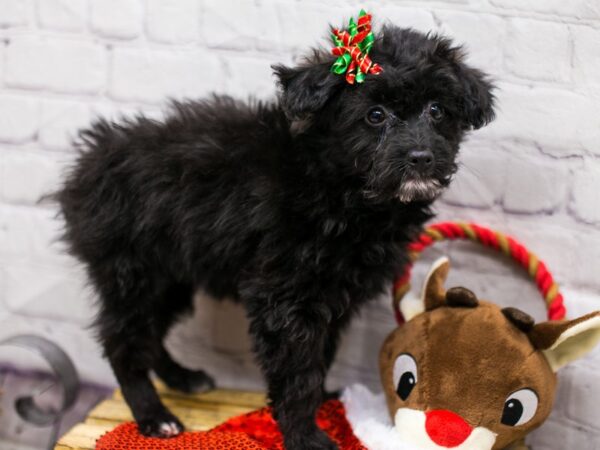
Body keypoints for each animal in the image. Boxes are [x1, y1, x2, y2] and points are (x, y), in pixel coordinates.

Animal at [57, 23, 492, 450]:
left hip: (171, 277)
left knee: (151, 336)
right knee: (124, 341)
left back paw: (183, 378)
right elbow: (298, 373)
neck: (337, 189)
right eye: (375, 115)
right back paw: (154, 416)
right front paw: (305, 436)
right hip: (134, 274)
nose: (421, 157)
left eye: (437, 110)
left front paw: (321, 407)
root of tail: (88, 163)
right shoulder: (285, 301)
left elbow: (320, 358)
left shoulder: (331, 296)